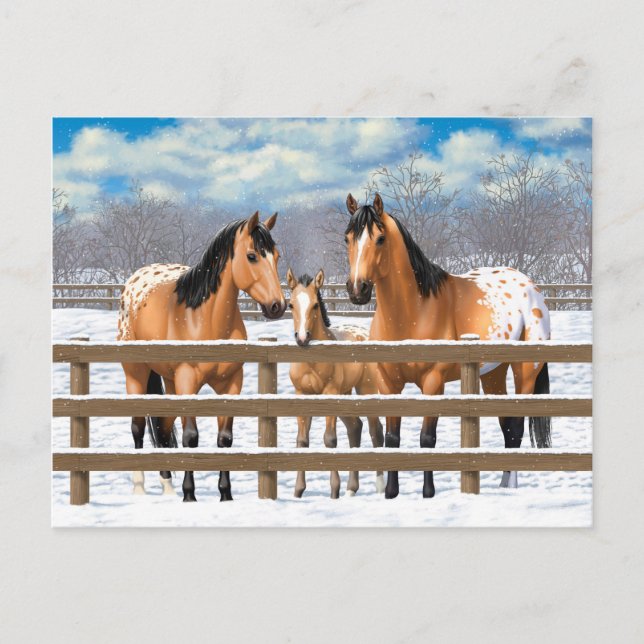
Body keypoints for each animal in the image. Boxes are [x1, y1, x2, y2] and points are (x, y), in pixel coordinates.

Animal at [117, 211, 286, 502]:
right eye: (252, 255)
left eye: (276, 256)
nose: (278, 306)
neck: (204, 319)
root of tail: (135, 280)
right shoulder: (188, 383)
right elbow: (190, 437)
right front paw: (190, 496)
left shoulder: (231, 384)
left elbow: (224, 438)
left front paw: (225, 495)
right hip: (136, 374)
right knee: (138, 427)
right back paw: (140, 488)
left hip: (170, 381)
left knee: (162, 428)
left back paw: (167, 485)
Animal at [286, 268, 385, 498]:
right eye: (291, 305)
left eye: (315, 305)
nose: (302, 338)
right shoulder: (301, 394)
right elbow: (302, 441)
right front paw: (298, 492)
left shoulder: (329, 393)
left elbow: (329, 439)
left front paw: (334, 491)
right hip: (345, 393)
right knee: (355, 427)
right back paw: (351, 489)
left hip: (365, 389)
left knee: (375, 431)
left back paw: (379, 487)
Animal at [343, 193, 552, 499]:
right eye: (347, 238)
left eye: (379, 238)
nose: (358, 289)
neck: (414, 311)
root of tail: (531, 286)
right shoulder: (387, 382)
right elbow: (392, 438)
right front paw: (391, 494)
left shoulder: (433, 382)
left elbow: (427, 438)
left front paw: (428, 494)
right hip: (493, 373)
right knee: (506, 425)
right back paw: (503, 485)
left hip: (525, 370)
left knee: (516, 426)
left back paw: (509, 489)